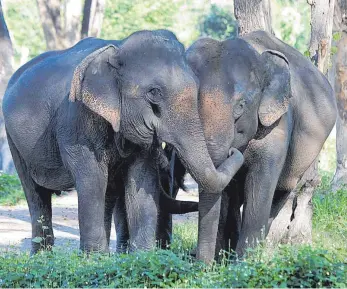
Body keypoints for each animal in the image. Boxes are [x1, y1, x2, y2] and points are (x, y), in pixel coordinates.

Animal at [2, 29, 243, 254]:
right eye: (154, 92)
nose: (233, 151)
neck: (118, 49)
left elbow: (142, 178)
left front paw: (142, 256)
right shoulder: (77, 119)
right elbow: (91, 178)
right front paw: (93, 259)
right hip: (13, 139)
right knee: (35, 193)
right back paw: (42, 257)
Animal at [160, 30, 338, 262]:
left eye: (241, 105)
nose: (201, 265)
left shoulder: (277, 125)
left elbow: (260, 185)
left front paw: (242, 263)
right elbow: (225, 190)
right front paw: (222, 261)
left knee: (281, 193)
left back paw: (261, 254)